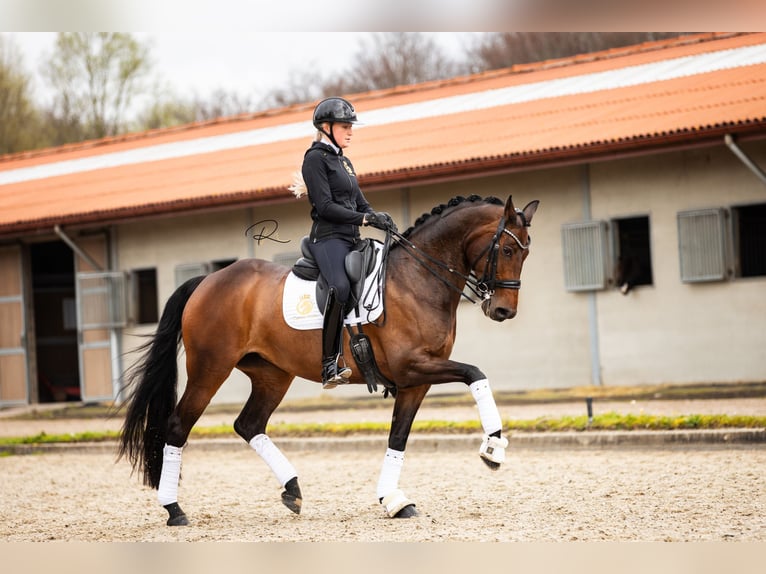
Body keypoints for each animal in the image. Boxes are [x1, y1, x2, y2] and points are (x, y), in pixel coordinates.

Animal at [120, 196, 540, 528]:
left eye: (527, 252)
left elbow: (398, 437)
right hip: (211, 369)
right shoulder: (413, 367)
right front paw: (493, 447)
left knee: (249, 423)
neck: (417, 279)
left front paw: (394, 500)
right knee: (178, 426)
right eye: (506, 250)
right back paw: (174, 509)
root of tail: (207, 281)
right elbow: (475, 374)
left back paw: (292, 489)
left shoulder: (415, 381)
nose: (504, 311)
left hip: (273, 374)